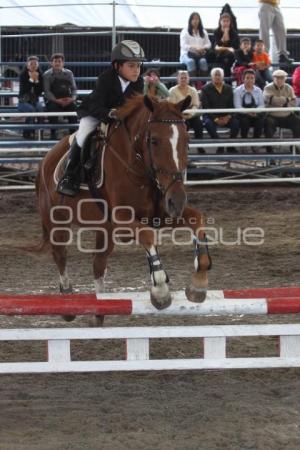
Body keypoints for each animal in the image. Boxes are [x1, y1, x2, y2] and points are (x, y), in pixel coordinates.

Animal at [35, 94, 211, 320]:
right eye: (154, 141)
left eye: (186, 141)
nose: (178, 201)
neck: (138, 168)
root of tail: (44, 161)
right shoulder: (123, 220)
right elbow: (147, 236)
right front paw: (161, 292)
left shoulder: (161, 214)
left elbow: (197, 220)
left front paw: (199, 284)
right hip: (58, 222)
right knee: (60, 255)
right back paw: (67, 301)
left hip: (104, 229)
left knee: (98, 262)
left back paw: (100, 308)